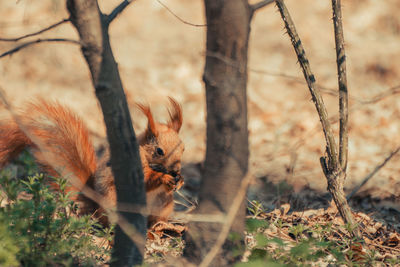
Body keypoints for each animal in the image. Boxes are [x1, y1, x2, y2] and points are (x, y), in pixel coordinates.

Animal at [0, 98, 184, 228]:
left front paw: (180, 181)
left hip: (163, 206)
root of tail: (96, 204)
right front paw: (164, 178)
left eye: (183, 148)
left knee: (153, 222)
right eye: (159, 151)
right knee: (107, 224)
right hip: (114, 205)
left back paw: (156, 229)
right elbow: (146, 180)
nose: (176, 171)